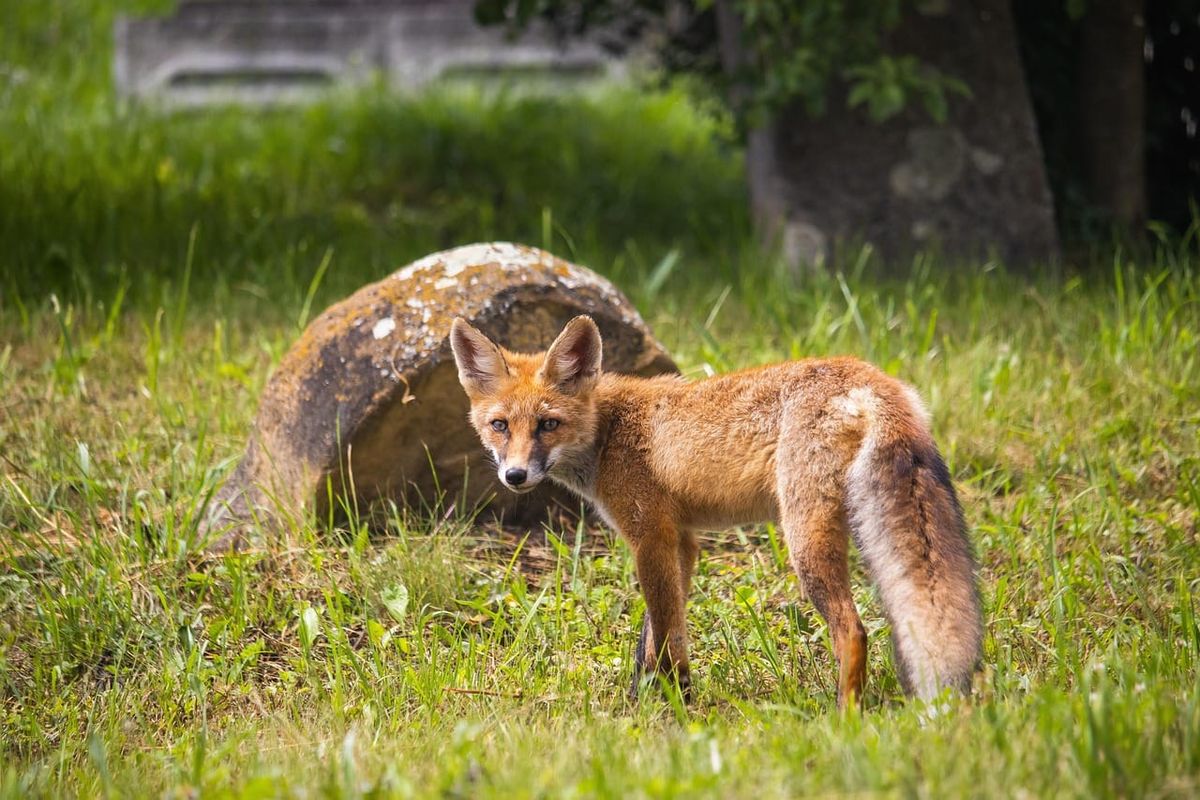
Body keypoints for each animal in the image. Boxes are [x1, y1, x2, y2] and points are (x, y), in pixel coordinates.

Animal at [449, 314, 983, 707]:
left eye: (547, 424)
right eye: (500, 425)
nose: (515, 476)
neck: (608, 432)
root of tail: (870, 378)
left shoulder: (650, 537)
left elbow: (665, 631)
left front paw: (676, 705)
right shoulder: (683, 540)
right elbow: (655, 635)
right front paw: (645, 696)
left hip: (804, 539)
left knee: (853, 630)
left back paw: (844, 714)